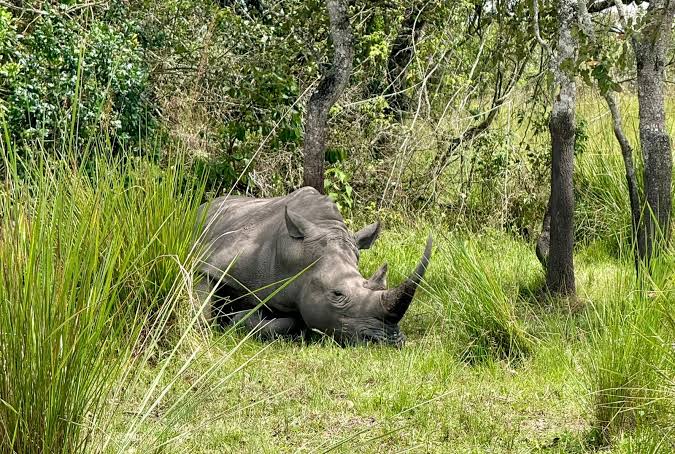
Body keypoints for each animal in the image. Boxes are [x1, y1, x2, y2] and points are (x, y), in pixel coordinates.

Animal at [194, 187, 432, 346]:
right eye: (337, 294)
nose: (390, 341)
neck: (295, 254)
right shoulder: (213, 261)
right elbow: (202, 305)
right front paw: (221, 322)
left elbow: (290, 321)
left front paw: (239, 318)